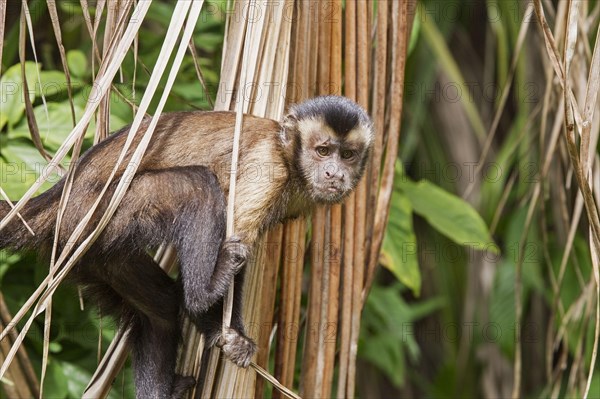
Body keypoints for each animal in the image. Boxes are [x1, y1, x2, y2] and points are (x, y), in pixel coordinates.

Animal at [0, 95, 372, 398]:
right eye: (322, 151)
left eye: (347, 155)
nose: (334, 173)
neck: (290, 158)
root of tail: (62, 193)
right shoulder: (267, 169)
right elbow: (234, 229)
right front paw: (225, 330)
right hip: (97, 210)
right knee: (197, 186)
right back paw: (200, 293)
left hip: (88, 248)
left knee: (160, 308)